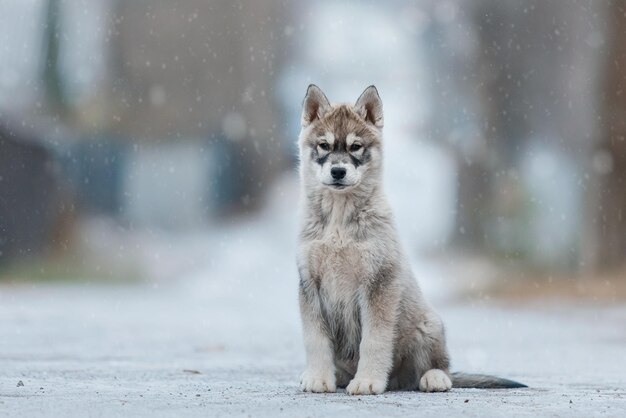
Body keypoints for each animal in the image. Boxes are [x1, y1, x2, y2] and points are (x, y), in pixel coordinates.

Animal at [294, 85, 524, 396]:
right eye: (324, 146)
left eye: (355, 147)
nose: (338, 172)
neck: (339, 221)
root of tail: (397, 381)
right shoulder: (310, 285)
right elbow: (315, 339)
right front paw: (319, 378)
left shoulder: (378, 282)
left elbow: (374, 340)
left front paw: (368, 381)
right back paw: (342, 376)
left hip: (429, 326)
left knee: (438, 367)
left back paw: (433, 379)